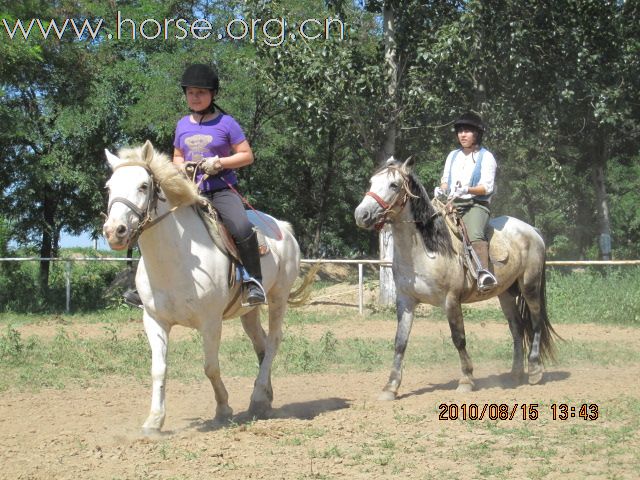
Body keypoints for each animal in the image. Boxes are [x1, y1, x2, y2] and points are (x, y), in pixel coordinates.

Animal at [103, 141, 302, 434]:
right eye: (109, 187)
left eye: (143, 185)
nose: (114, 231)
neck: (174, 260)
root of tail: (283, 228)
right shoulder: (154, 320)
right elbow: (158, 369)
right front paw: (154, 421)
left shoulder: (210, 322)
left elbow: (210, 367)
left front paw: (223, 410)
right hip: (249, 310)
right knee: (262, 344)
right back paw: (264, 398)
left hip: (279, 297)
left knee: (274, 340)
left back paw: (256, 399)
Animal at [352, 157, 556, 398]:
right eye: (372, 182)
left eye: (394, 185)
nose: (361, 215)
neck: (426, 251)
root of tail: (532, 230)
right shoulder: (405, 300)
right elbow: (400, 341)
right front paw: (390, 387)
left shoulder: (451, 300)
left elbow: (459, 338)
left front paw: (466, 379)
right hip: (505, 294)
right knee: (516, 328)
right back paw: (515, 374)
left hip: (530, 286)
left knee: (535, 321)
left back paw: (534, 370)